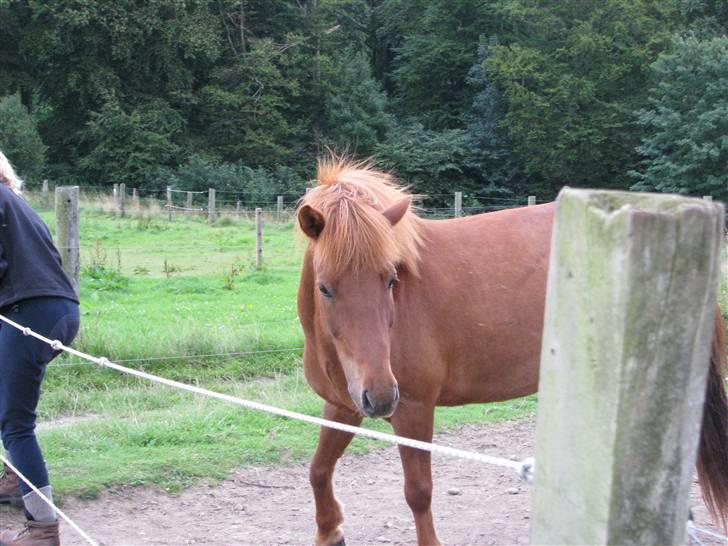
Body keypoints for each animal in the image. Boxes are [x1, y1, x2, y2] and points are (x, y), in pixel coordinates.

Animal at [298, 157, 728, 544]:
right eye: (325, 287)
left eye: (390, 279)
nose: (382, 395)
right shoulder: (345, 405)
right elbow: (318, 469)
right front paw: (329, 531)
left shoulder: (413, 410)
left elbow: (418, 492)